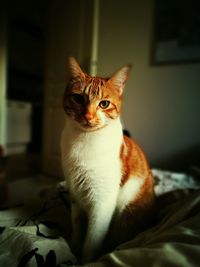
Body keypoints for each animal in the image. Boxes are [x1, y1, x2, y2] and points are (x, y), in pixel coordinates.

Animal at [60, 56, 155, 264]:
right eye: (78, 98)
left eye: (104, 104)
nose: (88, 116)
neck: (84, 141)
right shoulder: (74, 193)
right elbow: (77, 227)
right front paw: (72, 248)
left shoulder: (102, 202)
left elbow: (92, 240)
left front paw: (85, 261)